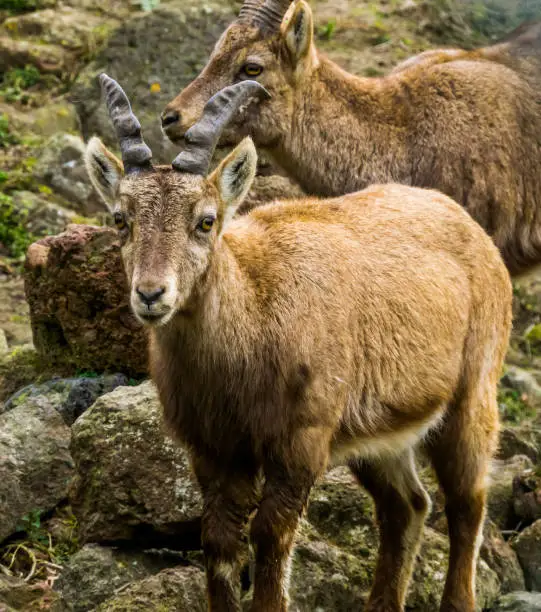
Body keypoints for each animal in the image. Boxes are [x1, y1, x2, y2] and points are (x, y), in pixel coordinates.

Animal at [86, 76, 512, 612]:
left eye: (206, 220)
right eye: (121, 218)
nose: (150, 294)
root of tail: (470, 226)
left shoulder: (300, 442)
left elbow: (271, 537)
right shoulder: (213, 448)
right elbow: (219, 541)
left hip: (471, 394)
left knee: (466, 502)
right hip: (377, 433)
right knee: (407, 506)